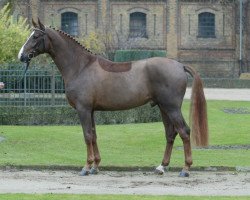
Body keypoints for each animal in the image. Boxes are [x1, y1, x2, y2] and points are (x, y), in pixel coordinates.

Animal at [18, 19, 208, 177]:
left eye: (35, 36)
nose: (21, 56)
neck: (81, 67)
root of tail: (179, 65)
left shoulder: (83, 109)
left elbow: (87, 135)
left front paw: (86, 167)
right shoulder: (91, 111)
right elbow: (94, 135)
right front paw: (95, 166)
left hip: (171, 108)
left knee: (184, 131)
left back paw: (185, 169)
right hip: (163, 108)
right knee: (170, 133)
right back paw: (162, 166)